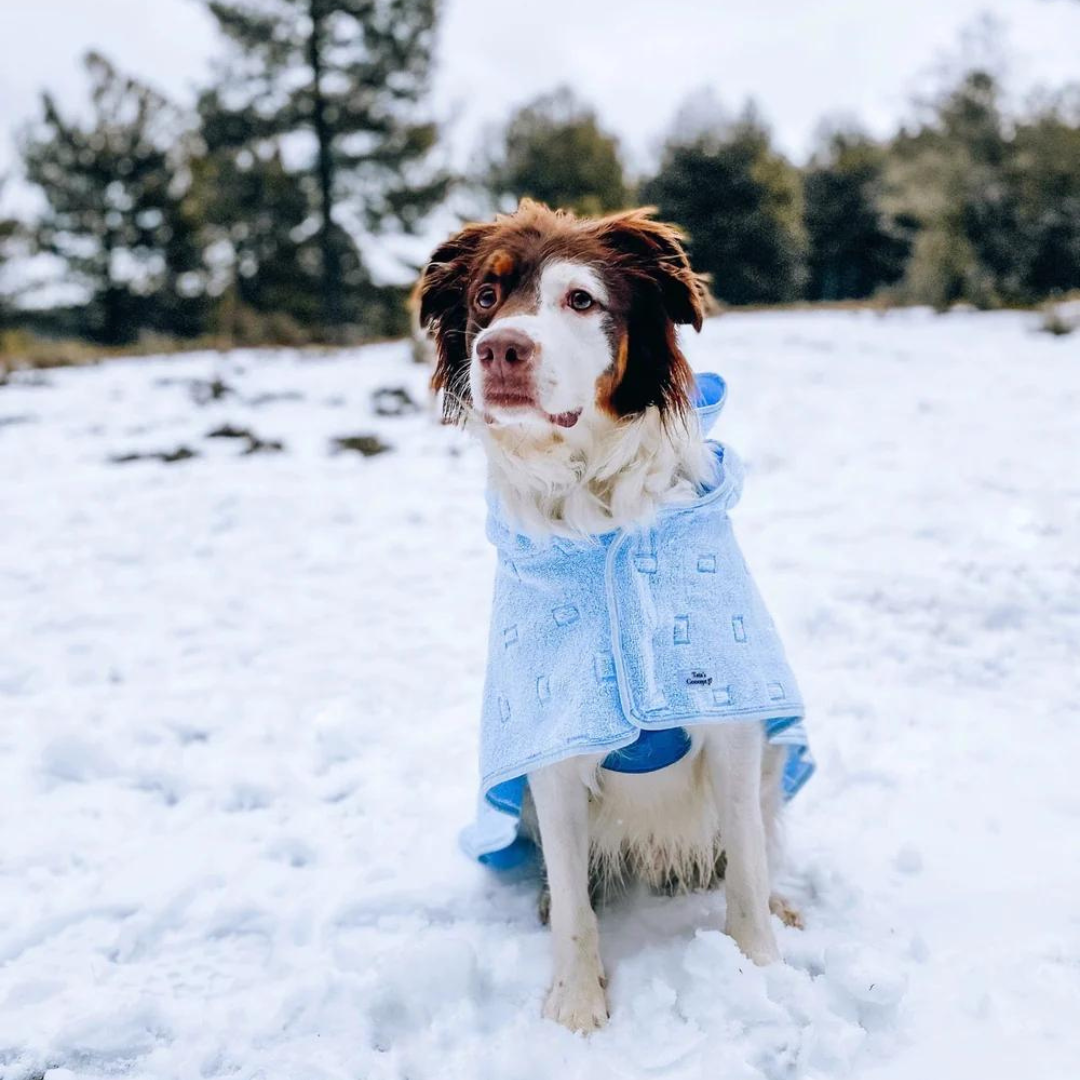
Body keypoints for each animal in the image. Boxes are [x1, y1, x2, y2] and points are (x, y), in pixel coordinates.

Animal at [412, 198, 812, 1032]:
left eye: (581, 299)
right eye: (486, 298)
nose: (499, 351)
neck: (595, 511)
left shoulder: (733, 724)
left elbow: (747, 868)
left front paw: (760, 974)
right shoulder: (555, 741)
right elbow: (572, 900)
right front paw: (576, 1002)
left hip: (772, 758)